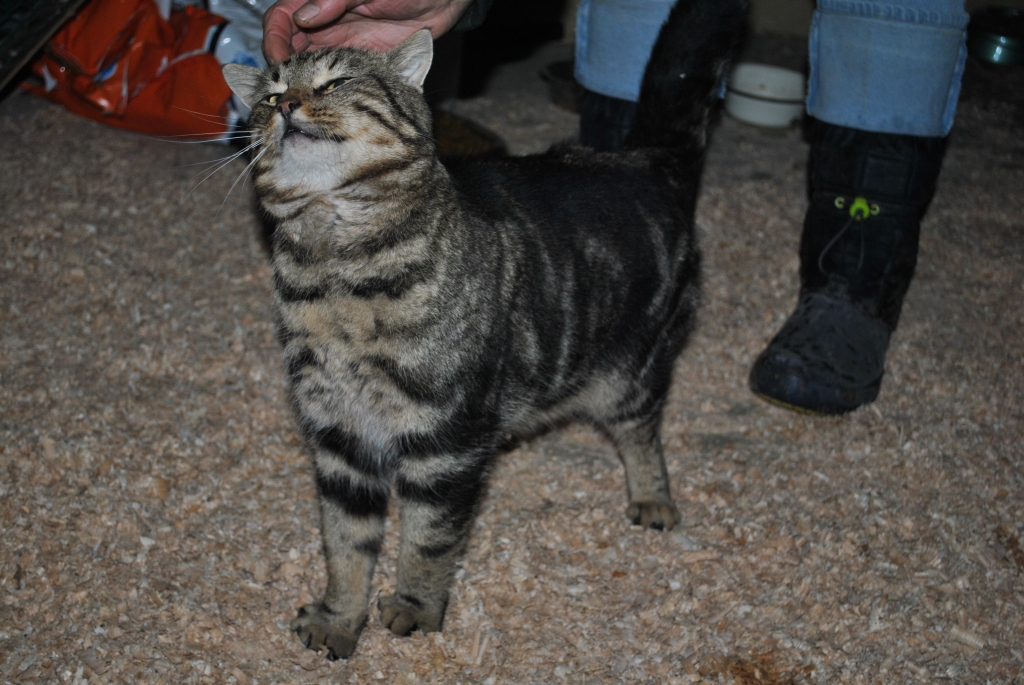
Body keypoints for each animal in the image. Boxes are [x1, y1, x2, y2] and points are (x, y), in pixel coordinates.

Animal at [224, 0, 745, 659]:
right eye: (268, 96)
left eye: (334, 83)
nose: (288, 104)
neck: (336, 266)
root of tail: (640, 159)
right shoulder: (341, 439)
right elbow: (344, 546)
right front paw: (339, 619)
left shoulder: (446, 441)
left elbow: (427, 541)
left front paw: (415, 608)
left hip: (632, 373)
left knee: (642, 434)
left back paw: (653, 496)